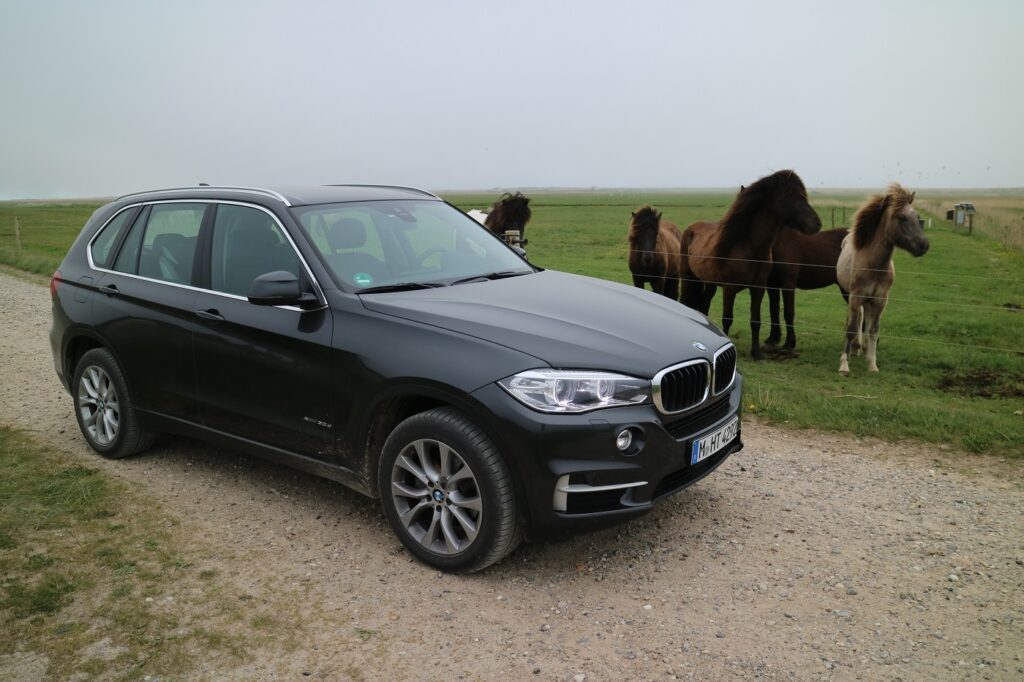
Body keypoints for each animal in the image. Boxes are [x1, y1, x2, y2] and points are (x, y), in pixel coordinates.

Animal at [684, 169, 819, 358]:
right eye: (794, 197)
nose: (817, 224)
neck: (749, 248)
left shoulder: (759, 287)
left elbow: (756, 320)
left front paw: (756, 352)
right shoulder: (729, 288)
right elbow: (727, 319)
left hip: (709, 283)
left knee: (704, 306)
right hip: (689, 278)